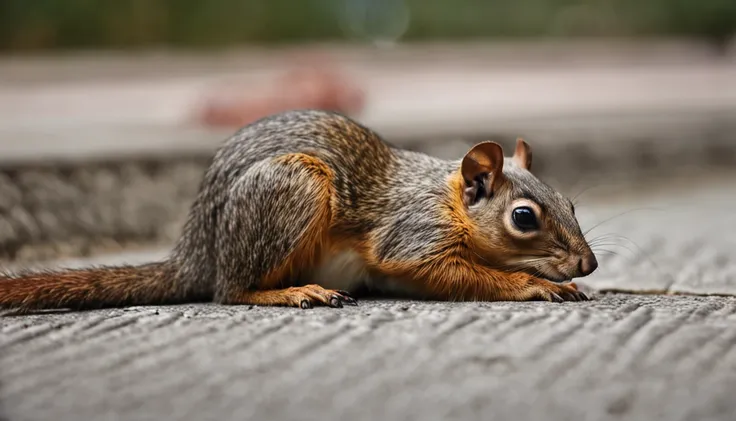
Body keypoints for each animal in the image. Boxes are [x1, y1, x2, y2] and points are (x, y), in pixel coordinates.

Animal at [0, 109, 600, 312]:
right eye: (523, 217)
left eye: (571, 202)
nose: (589, 264)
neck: (447, 197)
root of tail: (197, 251)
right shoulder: (412, 235)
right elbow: (448, 270)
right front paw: (534, 284)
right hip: (294, 188)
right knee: (230, 291)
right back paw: (292, 292)